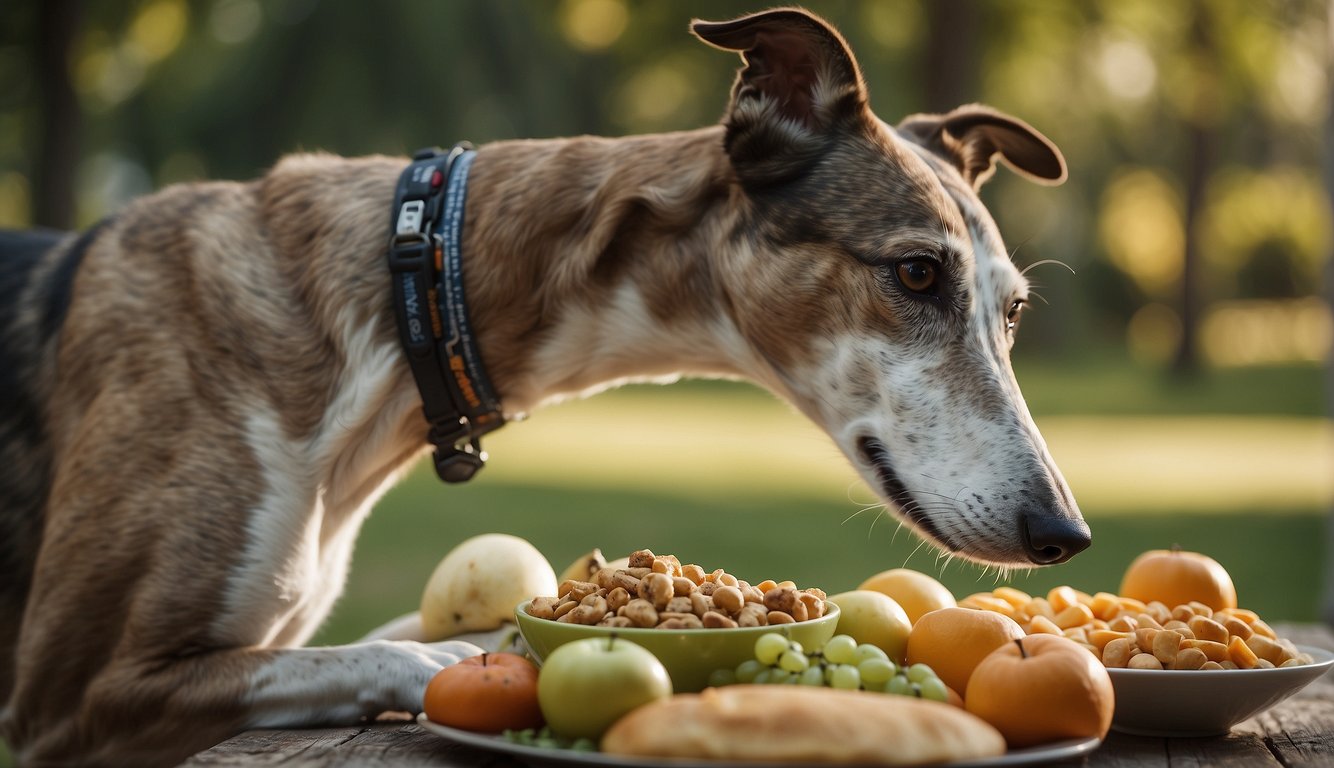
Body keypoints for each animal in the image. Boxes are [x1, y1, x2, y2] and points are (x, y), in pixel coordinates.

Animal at [0, 7, 1083, 768]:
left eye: (1014, 311)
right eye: (915, 273)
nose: (1062, 533)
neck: (416, 288)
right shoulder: (69, 698)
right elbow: (370, 654)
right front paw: (452, 664)